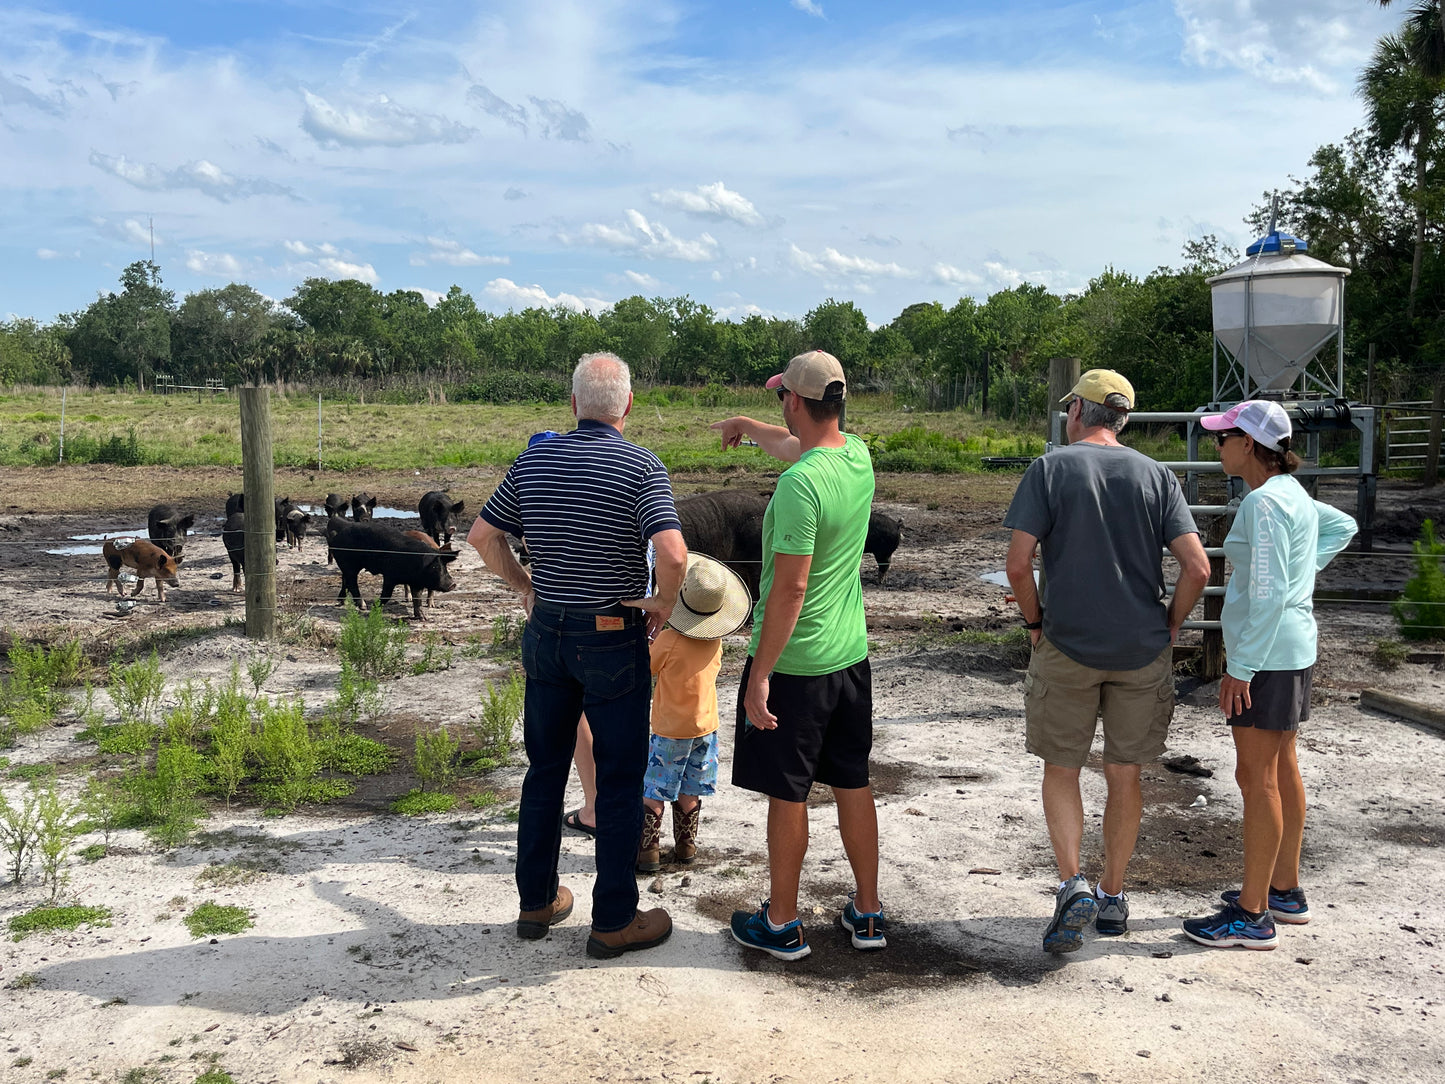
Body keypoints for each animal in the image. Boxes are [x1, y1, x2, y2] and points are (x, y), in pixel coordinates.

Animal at [328, 520, 456, 618]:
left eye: (444, 566)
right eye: (435, 567)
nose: (453, 584)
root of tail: (336, 535)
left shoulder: (416, 582)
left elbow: (417, 599)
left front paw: (422, 618)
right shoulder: (389, 576)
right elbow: (387, 594)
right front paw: (374, 607)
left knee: (345, 580)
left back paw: (342, 602)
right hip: (349, 564)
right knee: (352, 582)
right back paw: (363, 606)